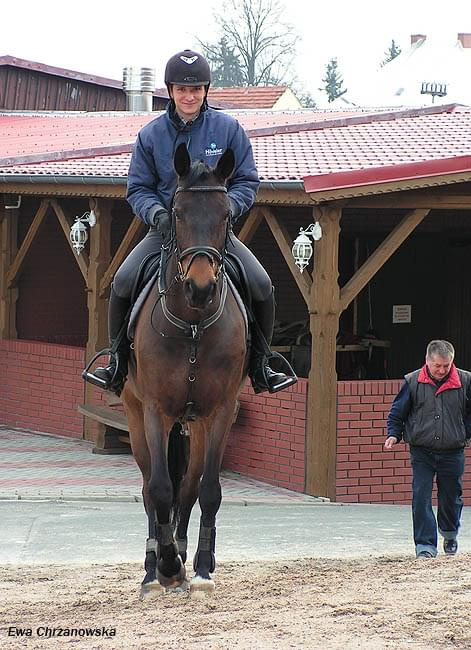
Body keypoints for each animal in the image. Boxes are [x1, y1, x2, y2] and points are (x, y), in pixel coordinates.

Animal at [121, 142, 247, 596]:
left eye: (226, 214)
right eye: (176, 212)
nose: (200, 287)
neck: (193, 323)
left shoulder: (222, 411)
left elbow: (206, 490)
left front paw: (202, 566)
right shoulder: (155, 411)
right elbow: (159, 489)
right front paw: (168, 566)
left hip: (198, 424)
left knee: (189, 489)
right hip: (136, 416)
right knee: (149, 489)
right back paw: (152, 568)